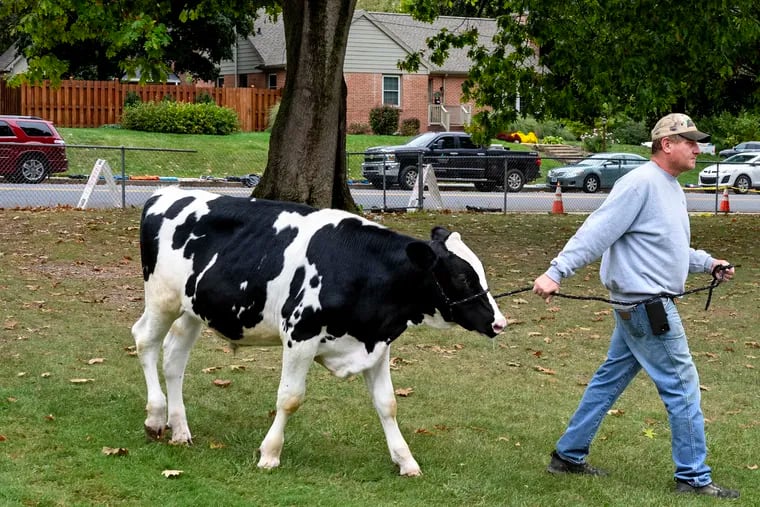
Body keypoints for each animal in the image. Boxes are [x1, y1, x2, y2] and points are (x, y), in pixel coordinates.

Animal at [134, 187, 508, 476]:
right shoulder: (299, 334)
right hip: (162, 299)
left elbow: (387, 404)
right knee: (145, 341)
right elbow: (289, 398)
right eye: (462, 277)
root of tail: (165, 193)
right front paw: (270, 454)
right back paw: (155, 417)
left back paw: (180, 429)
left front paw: (405, 461)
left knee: (174, 360)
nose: (499, 323)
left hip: (192, 310)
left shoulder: (377, 343)